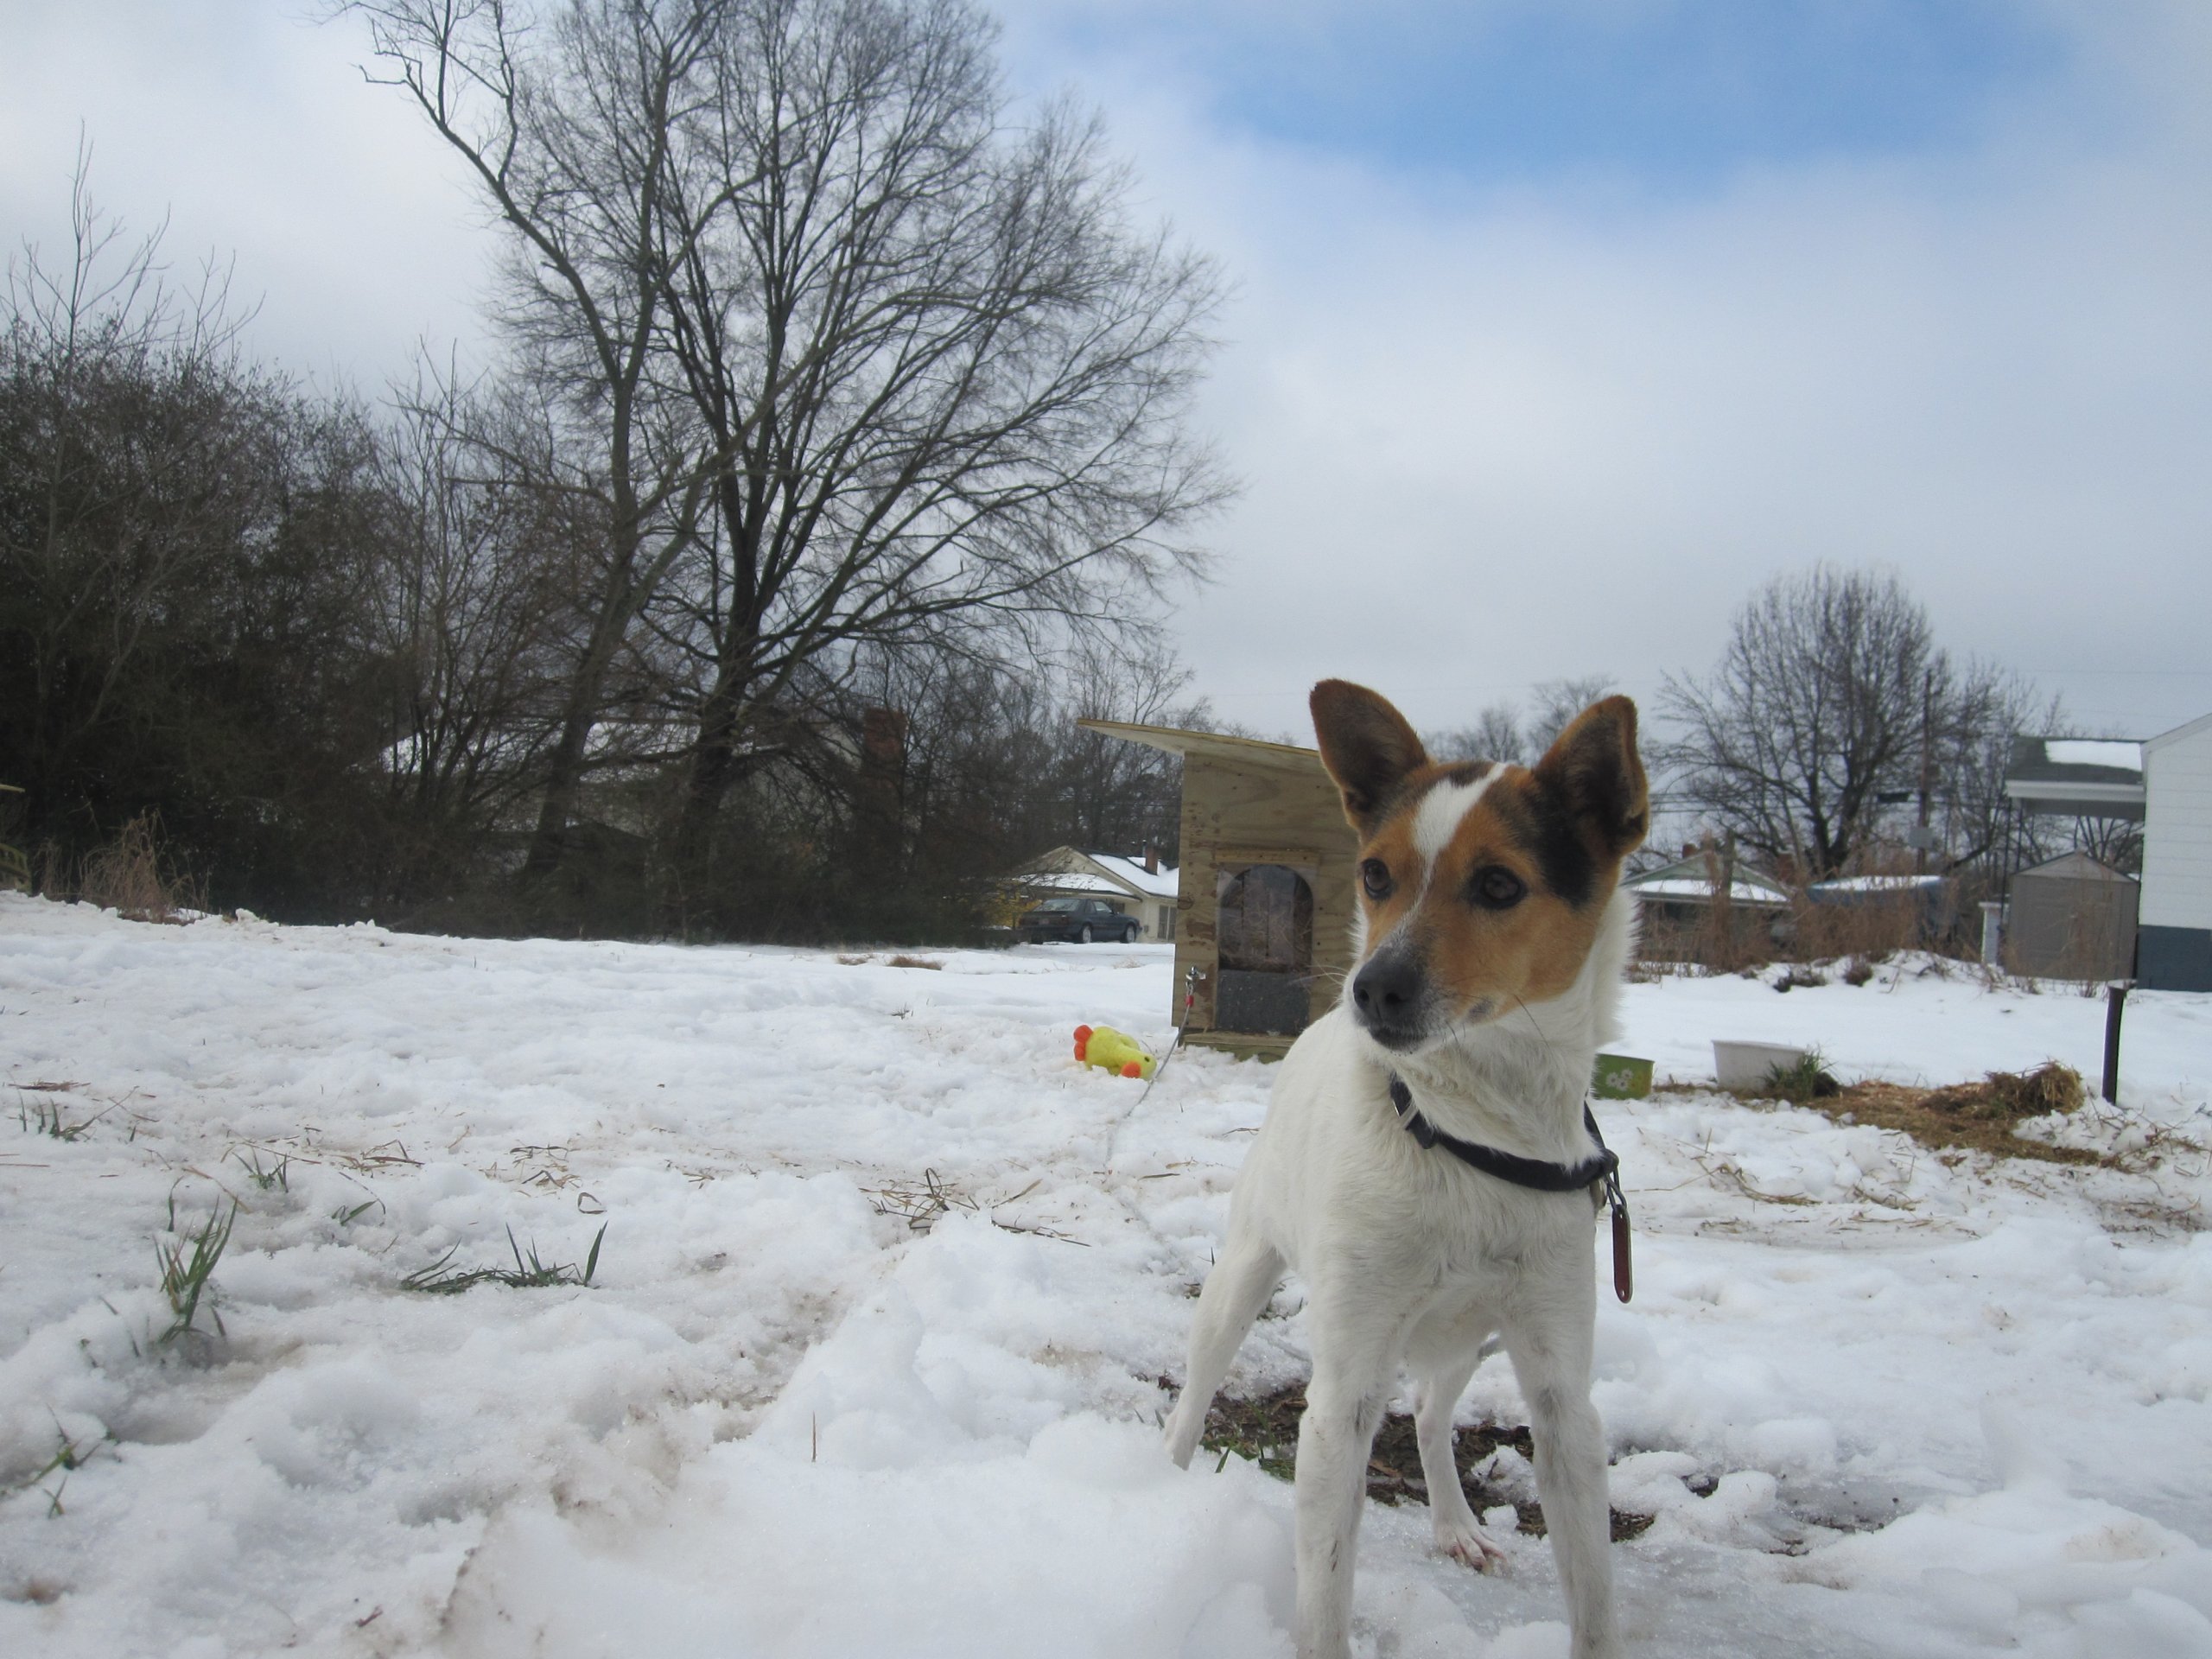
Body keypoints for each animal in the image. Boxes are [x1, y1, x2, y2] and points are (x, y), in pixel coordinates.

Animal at [1159, 677, 1645, 1659]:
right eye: (1376, 875)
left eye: (1499, 884)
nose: (1370, 989)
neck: (1470, 1131)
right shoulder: (1343, 1392)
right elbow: (1324, 1596)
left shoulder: (1560, 1395)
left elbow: (1594, 1596)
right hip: (1242, 1279)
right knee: (1196, 1393)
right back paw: (1160, 1480)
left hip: (1468, 1338)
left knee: (1426, 1416)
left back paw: (1455, 1523)